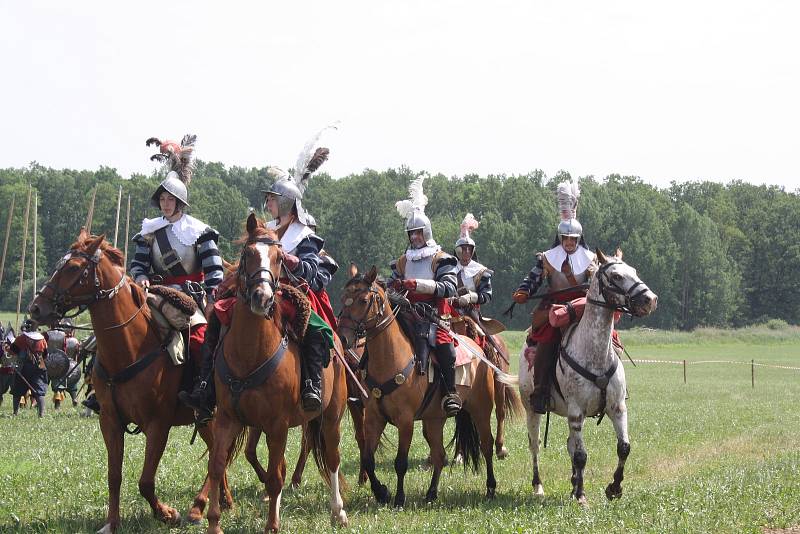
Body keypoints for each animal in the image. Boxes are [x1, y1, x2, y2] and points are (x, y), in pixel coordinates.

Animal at [28, 229, 228, 532]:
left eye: (73, 268)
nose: (36, 309)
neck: (130, 347)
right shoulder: (110, 421)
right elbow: (114, 475)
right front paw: (112, 523)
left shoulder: (158, 425)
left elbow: (145, 481)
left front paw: (167, 513)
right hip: (204, 419)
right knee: (218, 453)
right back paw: (223, 500)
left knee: (217, 454)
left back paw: (198, 507)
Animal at [203, 216, 346, 532]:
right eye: (247, 254)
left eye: (280, 258)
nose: (262, 297)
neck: (250, 352)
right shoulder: (228, 419)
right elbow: (217, 465)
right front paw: (214, 522)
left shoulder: (278, 425)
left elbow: (275, 478)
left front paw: (271, 525)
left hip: (331, 417)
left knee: (331, 458)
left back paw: (338, 511)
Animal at [338, 266, 520, 506]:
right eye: (344, 297)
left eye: (364, 299)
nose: (342, 337)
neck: (391, 356)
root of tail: (477, 349)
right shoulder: (374, 418)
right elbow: (368, 459)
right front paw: (382, 493)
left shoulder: (405, 421)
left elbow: (401, 462)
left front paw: (399, 498)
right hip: (434, 419)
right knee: (439, 455)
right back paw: (432, 493)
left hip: (481, 408)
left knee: (486, 444)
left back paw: (490, 486)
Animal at [520, 251, 656, 506]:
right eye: (616, 275)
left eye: (634, 271)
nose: (649, 299)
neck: (595, 354)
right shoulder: (576, 412)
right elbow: (582, 455)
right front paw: (582, 496)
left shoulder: (617, 408)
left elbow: (623, 447)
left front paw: (614, 488)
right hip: (531, 409)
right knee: (535, 446)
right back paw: (539, 486)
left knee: (570, 445)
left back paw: (573, 484)